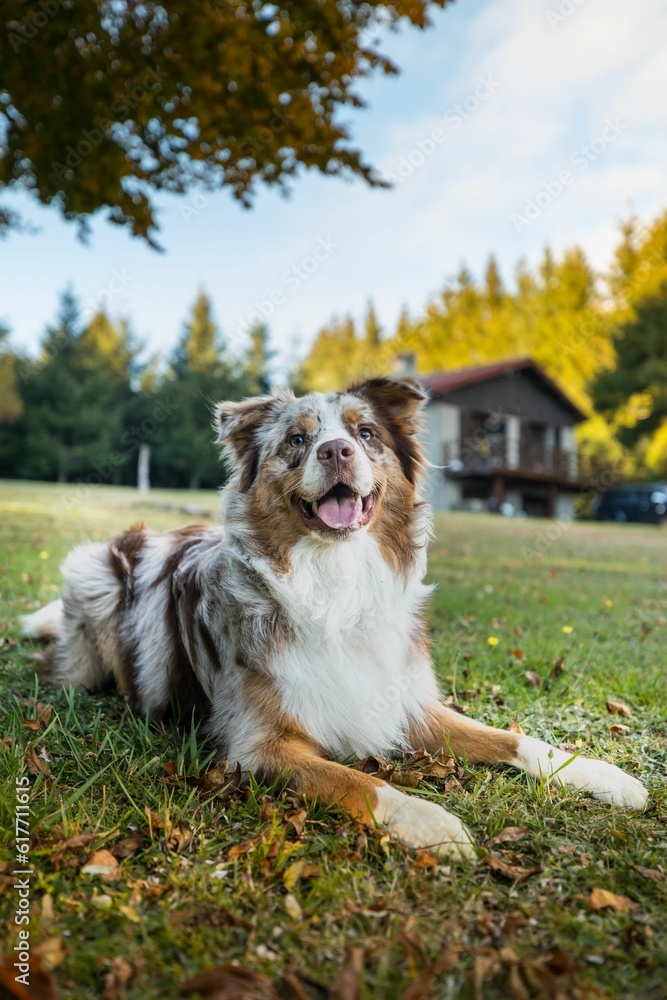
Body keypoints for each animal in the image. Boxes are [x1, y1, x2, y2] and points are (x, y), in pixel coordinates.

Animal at [19, 378, 648, 856]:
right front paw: (433, 823)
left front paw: (604, 776)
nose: (337, 451)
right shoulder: (260, 746)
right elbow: (361, 781)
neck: (335, 581)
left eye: (365, 433)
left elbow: (516, 739)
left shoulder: (407, 704)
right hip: (92, 585)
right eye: (297, 439)